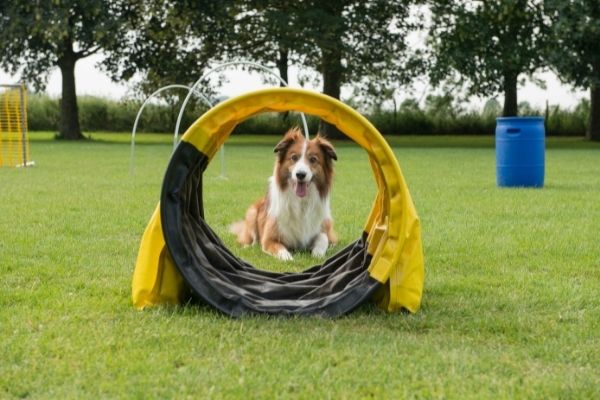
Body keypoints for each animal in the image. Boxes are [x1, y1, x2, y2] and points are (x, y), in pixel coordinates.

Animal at [230, 126, 338, 260]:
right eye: (294, 158)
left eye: (313, 159)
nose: (300, 174)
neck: (301, 203)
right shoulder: (269, 239)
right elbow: (281, 250)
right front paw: (289, 258)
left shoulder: (324, 227)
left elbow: (323, 238)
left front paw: (317, 254)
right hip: (252, 213)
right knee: (251, 239)